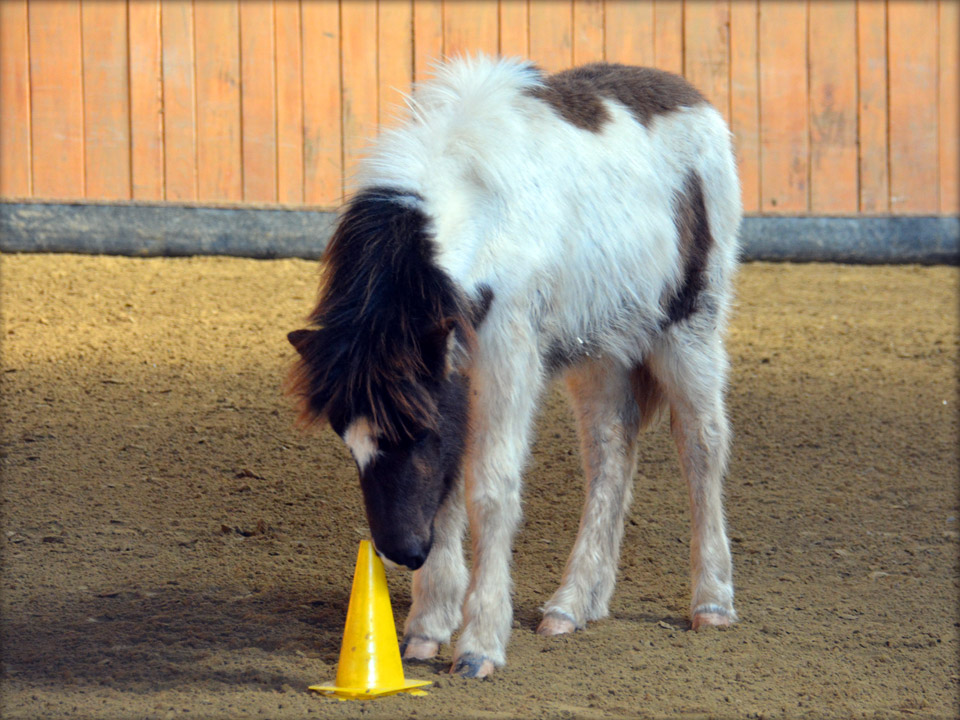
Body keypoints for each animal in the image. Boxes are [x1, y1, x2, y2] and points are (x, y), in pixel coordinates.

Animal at [288, 54, 748, 676]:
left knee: (702, 445)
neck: (479, 208)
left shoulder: (506, 354)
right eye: (348, 441)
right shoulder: (455, 372)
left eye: (416, 433)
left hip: (690, 330)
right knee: (610, 452)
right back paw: (573, 605)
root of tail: (694, 101)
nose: (404, 551)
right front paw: (428, 627)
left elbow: (490, 489)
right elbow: (448, 487)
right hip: (600, 352)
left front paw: (479, 644)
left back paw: (711, 602)